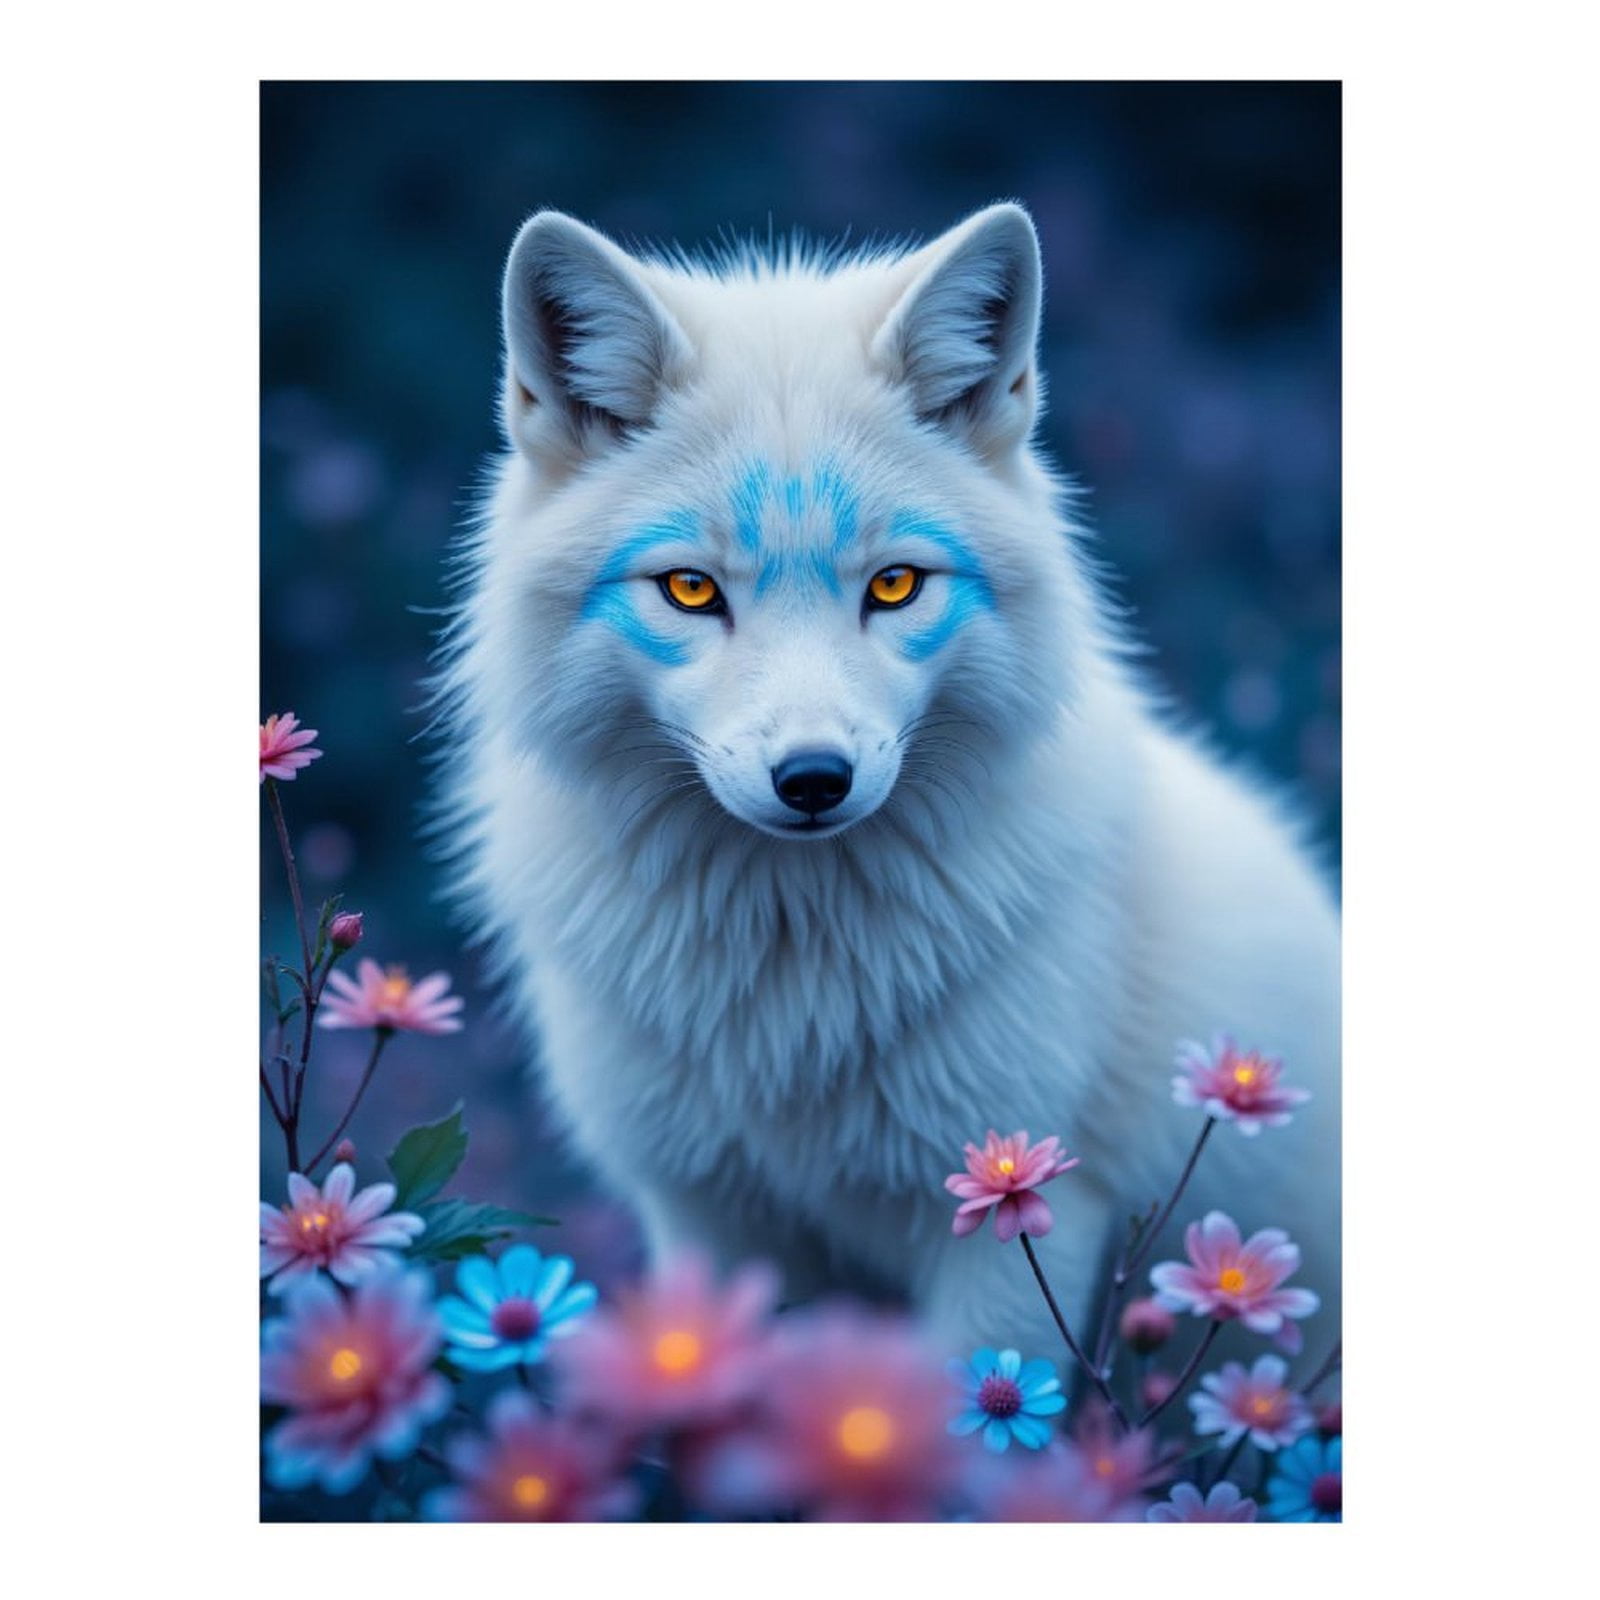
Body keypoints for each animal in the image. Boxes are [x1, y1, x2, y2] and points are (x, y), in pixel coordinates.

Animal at [432, 202, 1341, 1364]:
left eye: (896, 585)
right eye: (690, 590)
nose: (814, 780)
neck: (790, 988)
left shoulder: (1021, 1206)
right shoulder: (705, 1211)